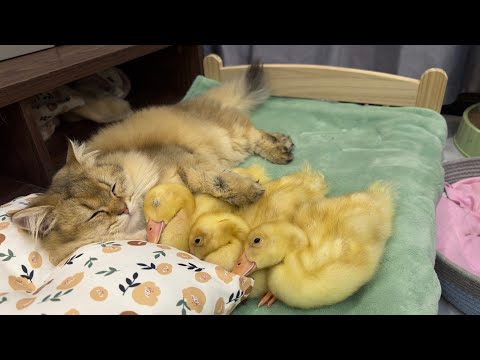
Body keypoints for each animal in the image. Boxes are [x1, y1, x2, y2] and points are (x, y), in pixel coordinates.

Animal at [11, 62, 294, 264]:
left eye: (113, 188)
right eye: (95, 214)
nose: (124, 208)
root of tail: (186, 104)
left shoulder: (183, 160)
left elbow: (212, 179)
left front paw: (248, 191)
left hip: (230, 137)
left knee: (254, 133)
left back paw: (281, 148)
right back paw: (282, 143)